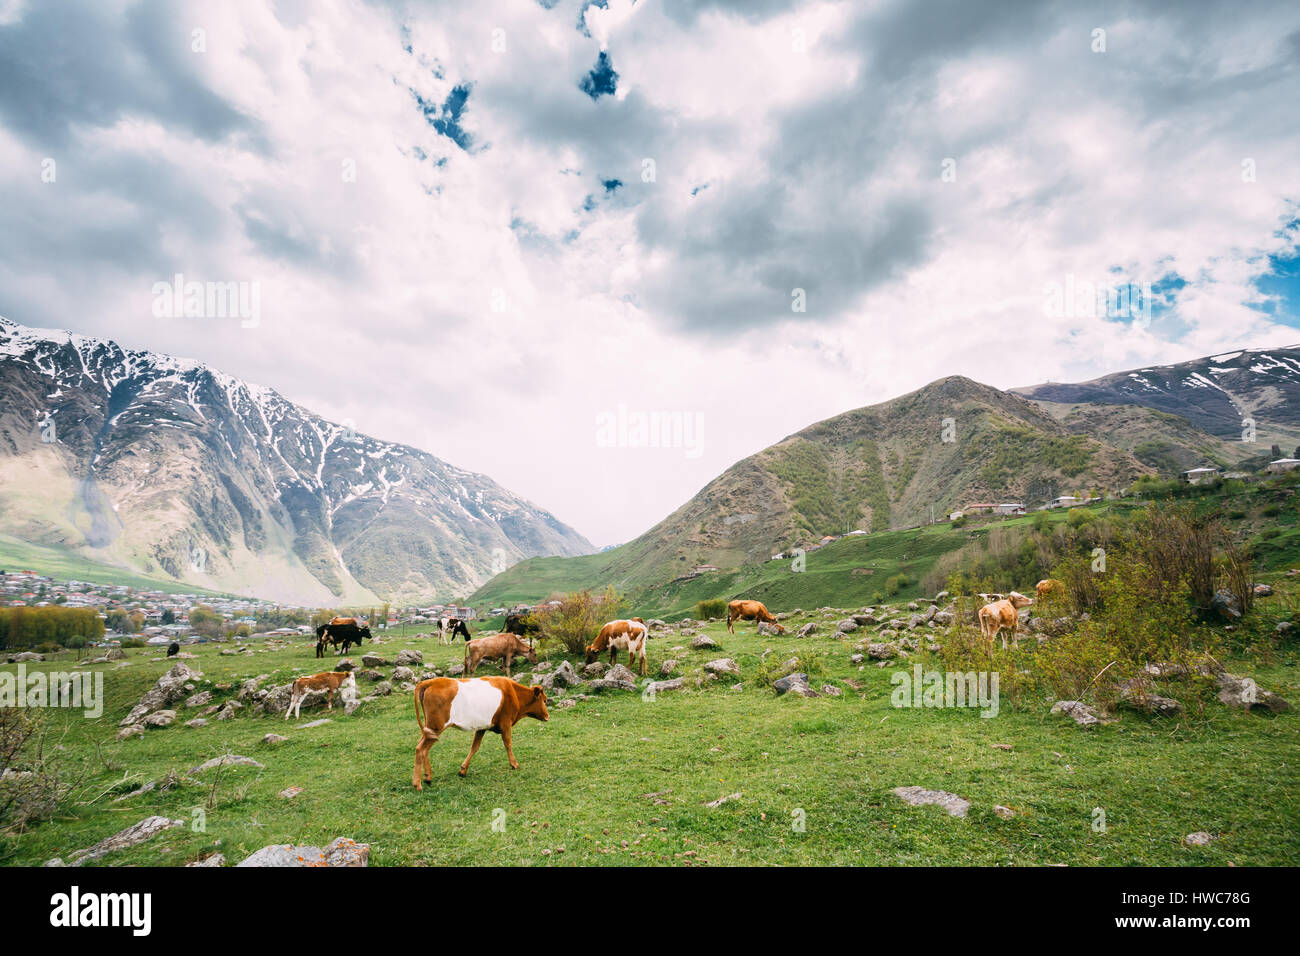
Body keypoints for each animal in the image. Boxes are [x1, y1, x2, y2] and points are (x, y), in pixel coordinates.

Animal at [408, 676, 546, 790]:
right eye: (544, 700)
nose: (547, 716)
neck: (514, 692)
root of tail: (431, 681)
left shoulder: (481, 727)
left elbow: (475, 747)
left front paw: (463, 770)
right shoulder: (506, 723)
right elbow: (508, 744)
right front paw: (514, 764)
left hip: (429, 729)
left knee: (423, 748)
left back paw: (427, 777)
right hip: (436, 727)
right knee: (421, 749)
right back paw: (417, 784)